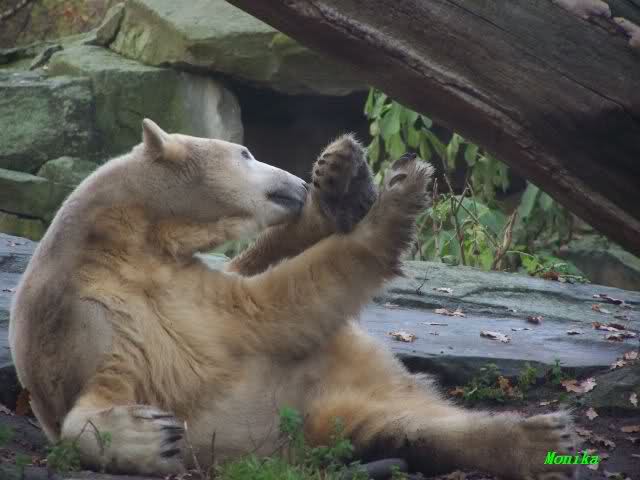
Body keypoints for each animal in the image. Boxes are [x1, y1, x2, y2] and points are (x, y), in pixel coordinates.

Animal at [9, 119, 577, 479]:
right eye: (245, 152)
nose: (295, 182)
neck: (114, 245)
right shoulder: (93, 324)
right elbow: (269, 306)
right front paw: (157, 437)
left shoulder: (176, 276)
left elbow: (258, 277)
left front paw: (342, 181)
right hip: (326, 411)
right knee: (412, 429)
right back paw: (543, 440)